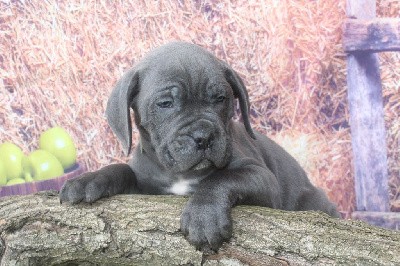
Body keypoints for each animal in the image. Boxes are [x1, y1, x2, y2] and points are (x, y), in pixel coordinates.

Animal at [60, 40, 340, 250]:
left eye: (220, 98)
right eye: (165, 104)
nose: (203, 136)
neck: (180, 174)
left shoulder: (262, 177)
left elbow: (222, 178)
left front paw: (204, 217)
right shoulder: (145, 187)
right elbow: (122, 169)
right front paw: (88, 179)